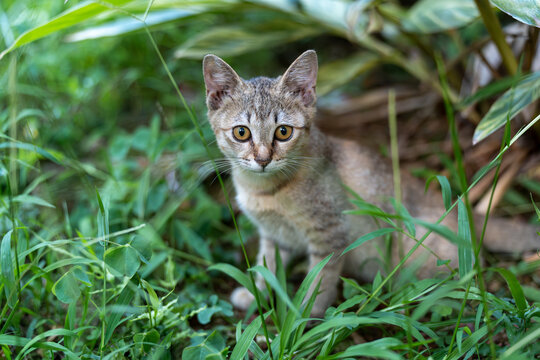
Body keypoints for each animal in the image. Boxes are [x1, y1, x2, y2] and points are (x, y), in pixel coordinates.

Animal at [202, 50, 540, 316]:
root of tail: (464, 210)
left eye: (283, 132)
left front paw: (305, 317)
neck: (264, 190)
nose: (262, 159)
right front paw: (256, 292)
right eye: (241, 132)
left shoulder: (330, 234)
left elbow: (320, 281)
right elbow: (267, 265)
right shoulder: (273, 235)